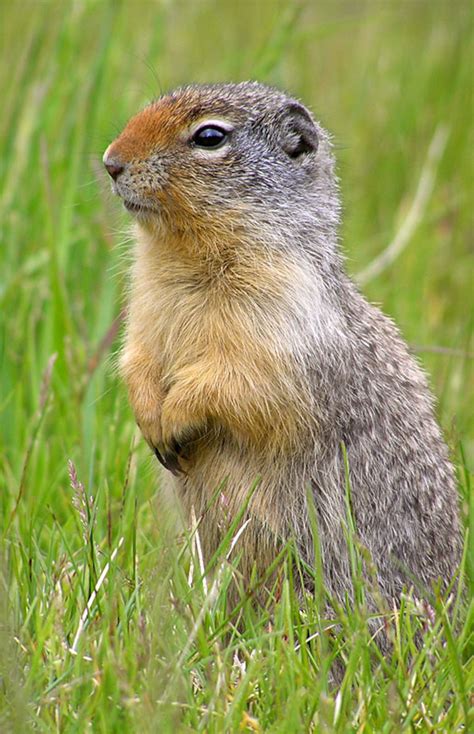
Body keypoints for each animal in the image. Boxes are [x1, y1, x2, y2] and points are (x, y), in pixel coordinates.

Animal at [103, 82, 461, 606]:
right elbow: (137, 361)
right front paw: (150, 416)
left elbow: (241, 382)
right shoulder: (145, 315)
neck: (184, 256)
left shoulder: (281, 326)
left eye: (209, 136)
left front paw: (176, 416)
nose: (110, 161)